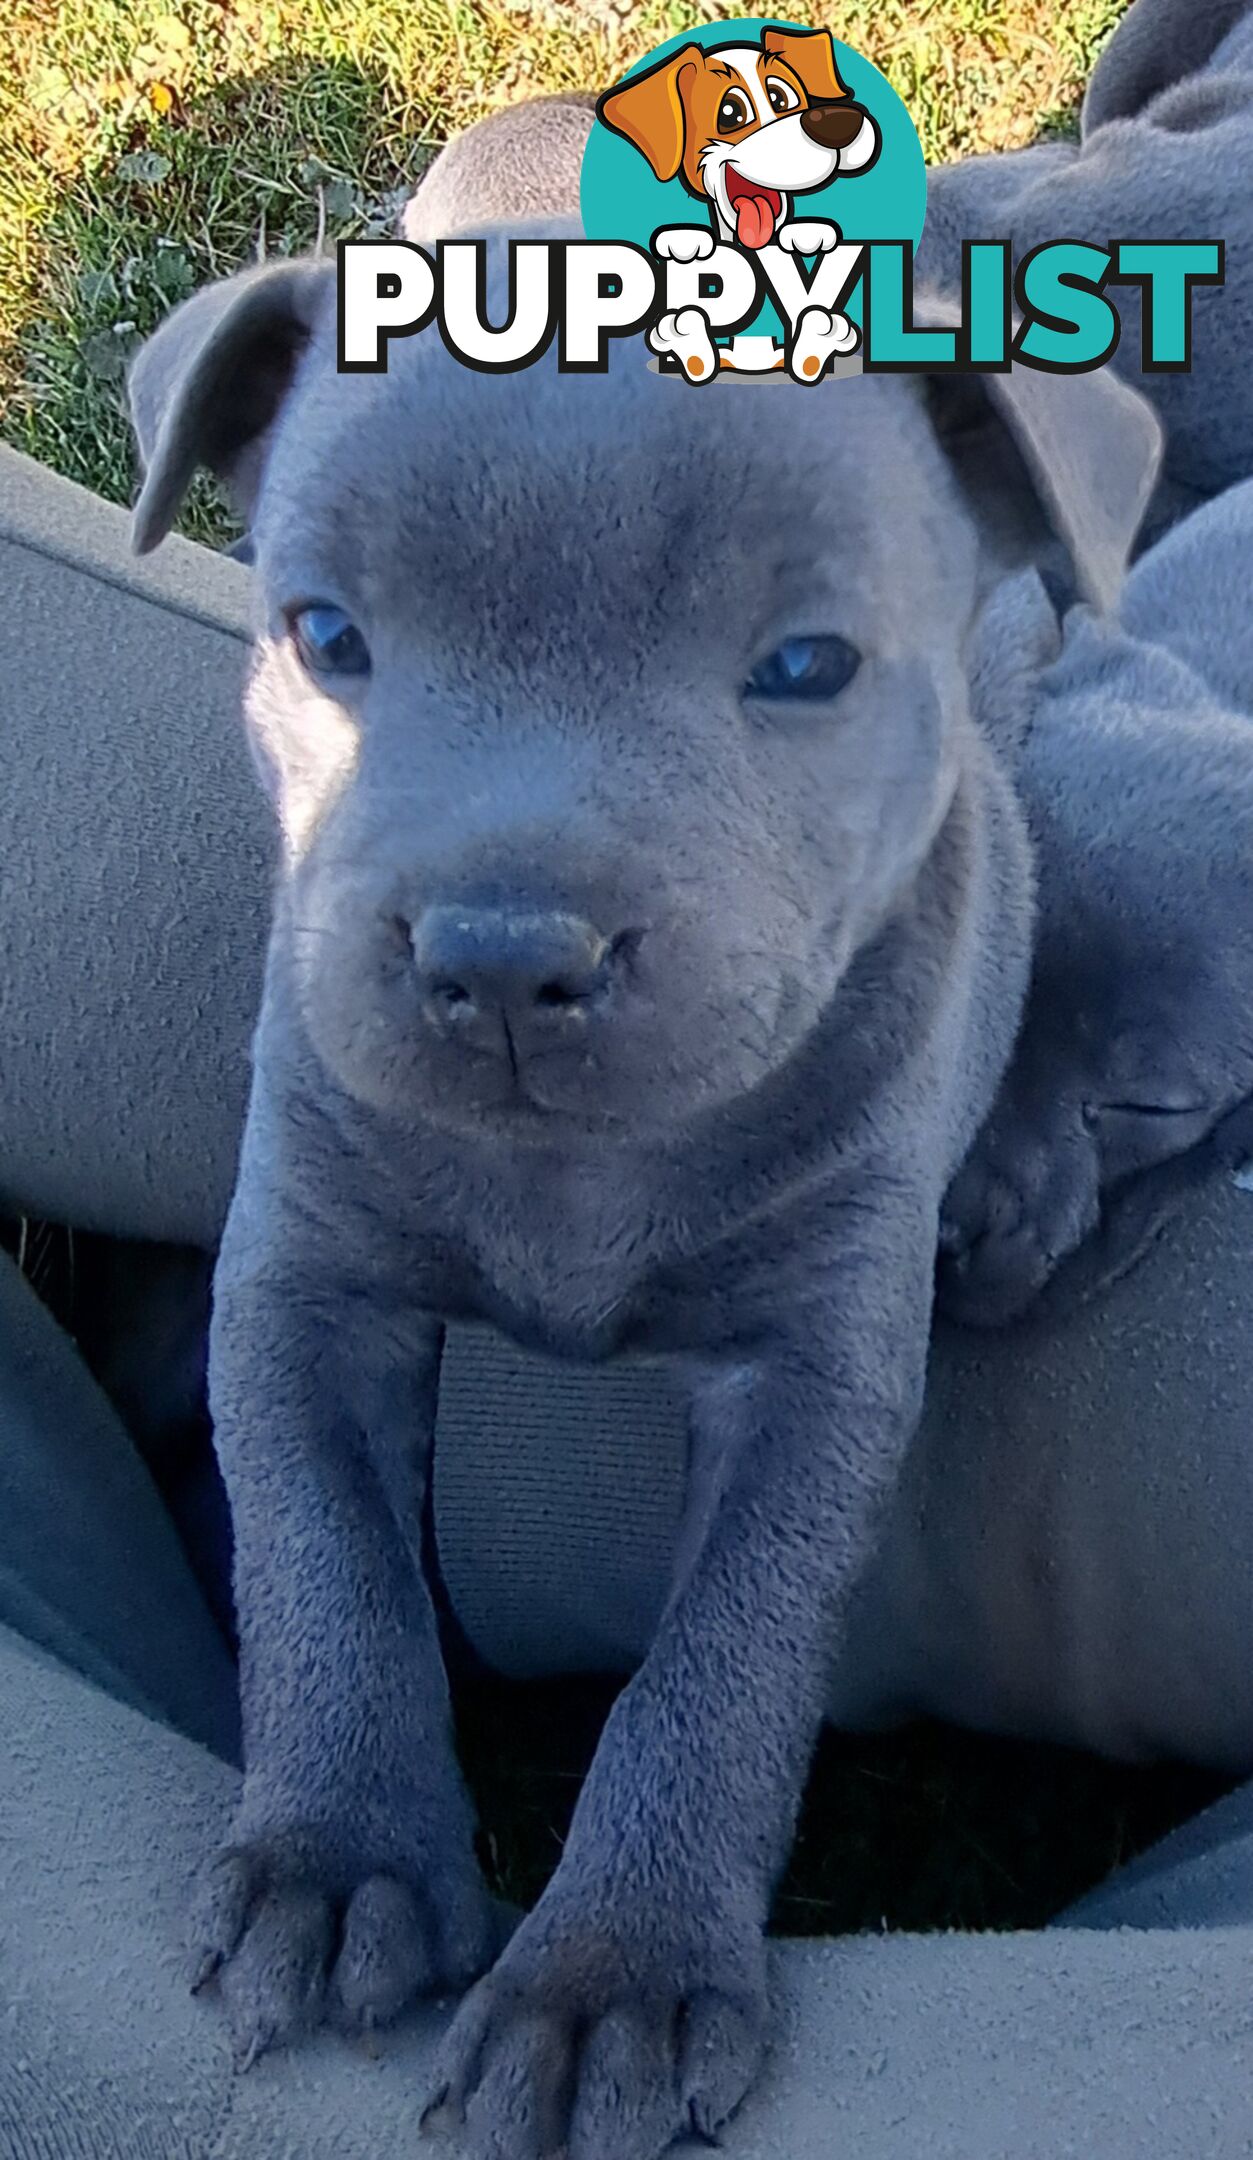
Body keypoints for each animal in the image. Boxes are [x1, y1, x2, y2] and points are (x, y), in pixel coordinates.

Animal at [127, 210, 1157, 2151]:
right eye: (323, 636)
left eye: (808, 666)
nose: (503, 954)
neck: (577, 1185)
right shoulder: (302, 1274)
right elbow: (319, 1550)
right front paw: (334, 1862)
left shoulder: (817, 1366)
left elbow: (721, 1661)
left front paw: (611, 1980)